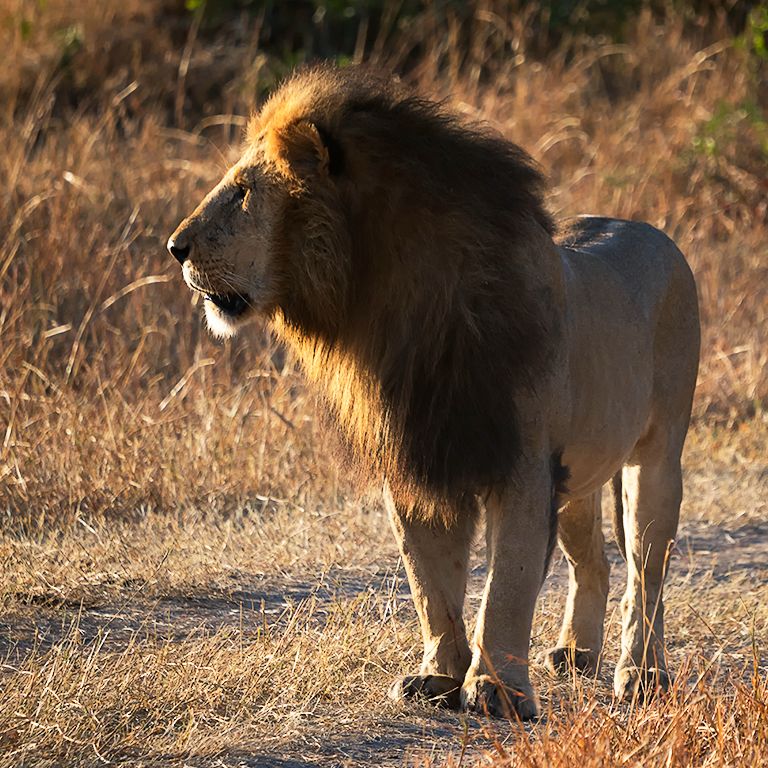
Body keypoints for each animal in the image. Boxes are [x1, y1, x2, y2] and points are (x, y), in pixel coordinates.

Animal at [168, 65, 700, 720]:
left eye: (242, 192)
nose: (174, 248)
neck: (387, 311)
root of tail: (655, 232)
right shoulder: (420, 458)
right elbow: (431, 581)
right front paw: (439, 677)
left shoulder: (522, 464)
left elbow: (507, 585)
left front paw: (495, 690)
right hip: (580, 472)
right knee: (593, 561)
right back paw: (576, 655)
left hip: (657, 454)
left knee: (648, 571)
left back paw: (641, 673)